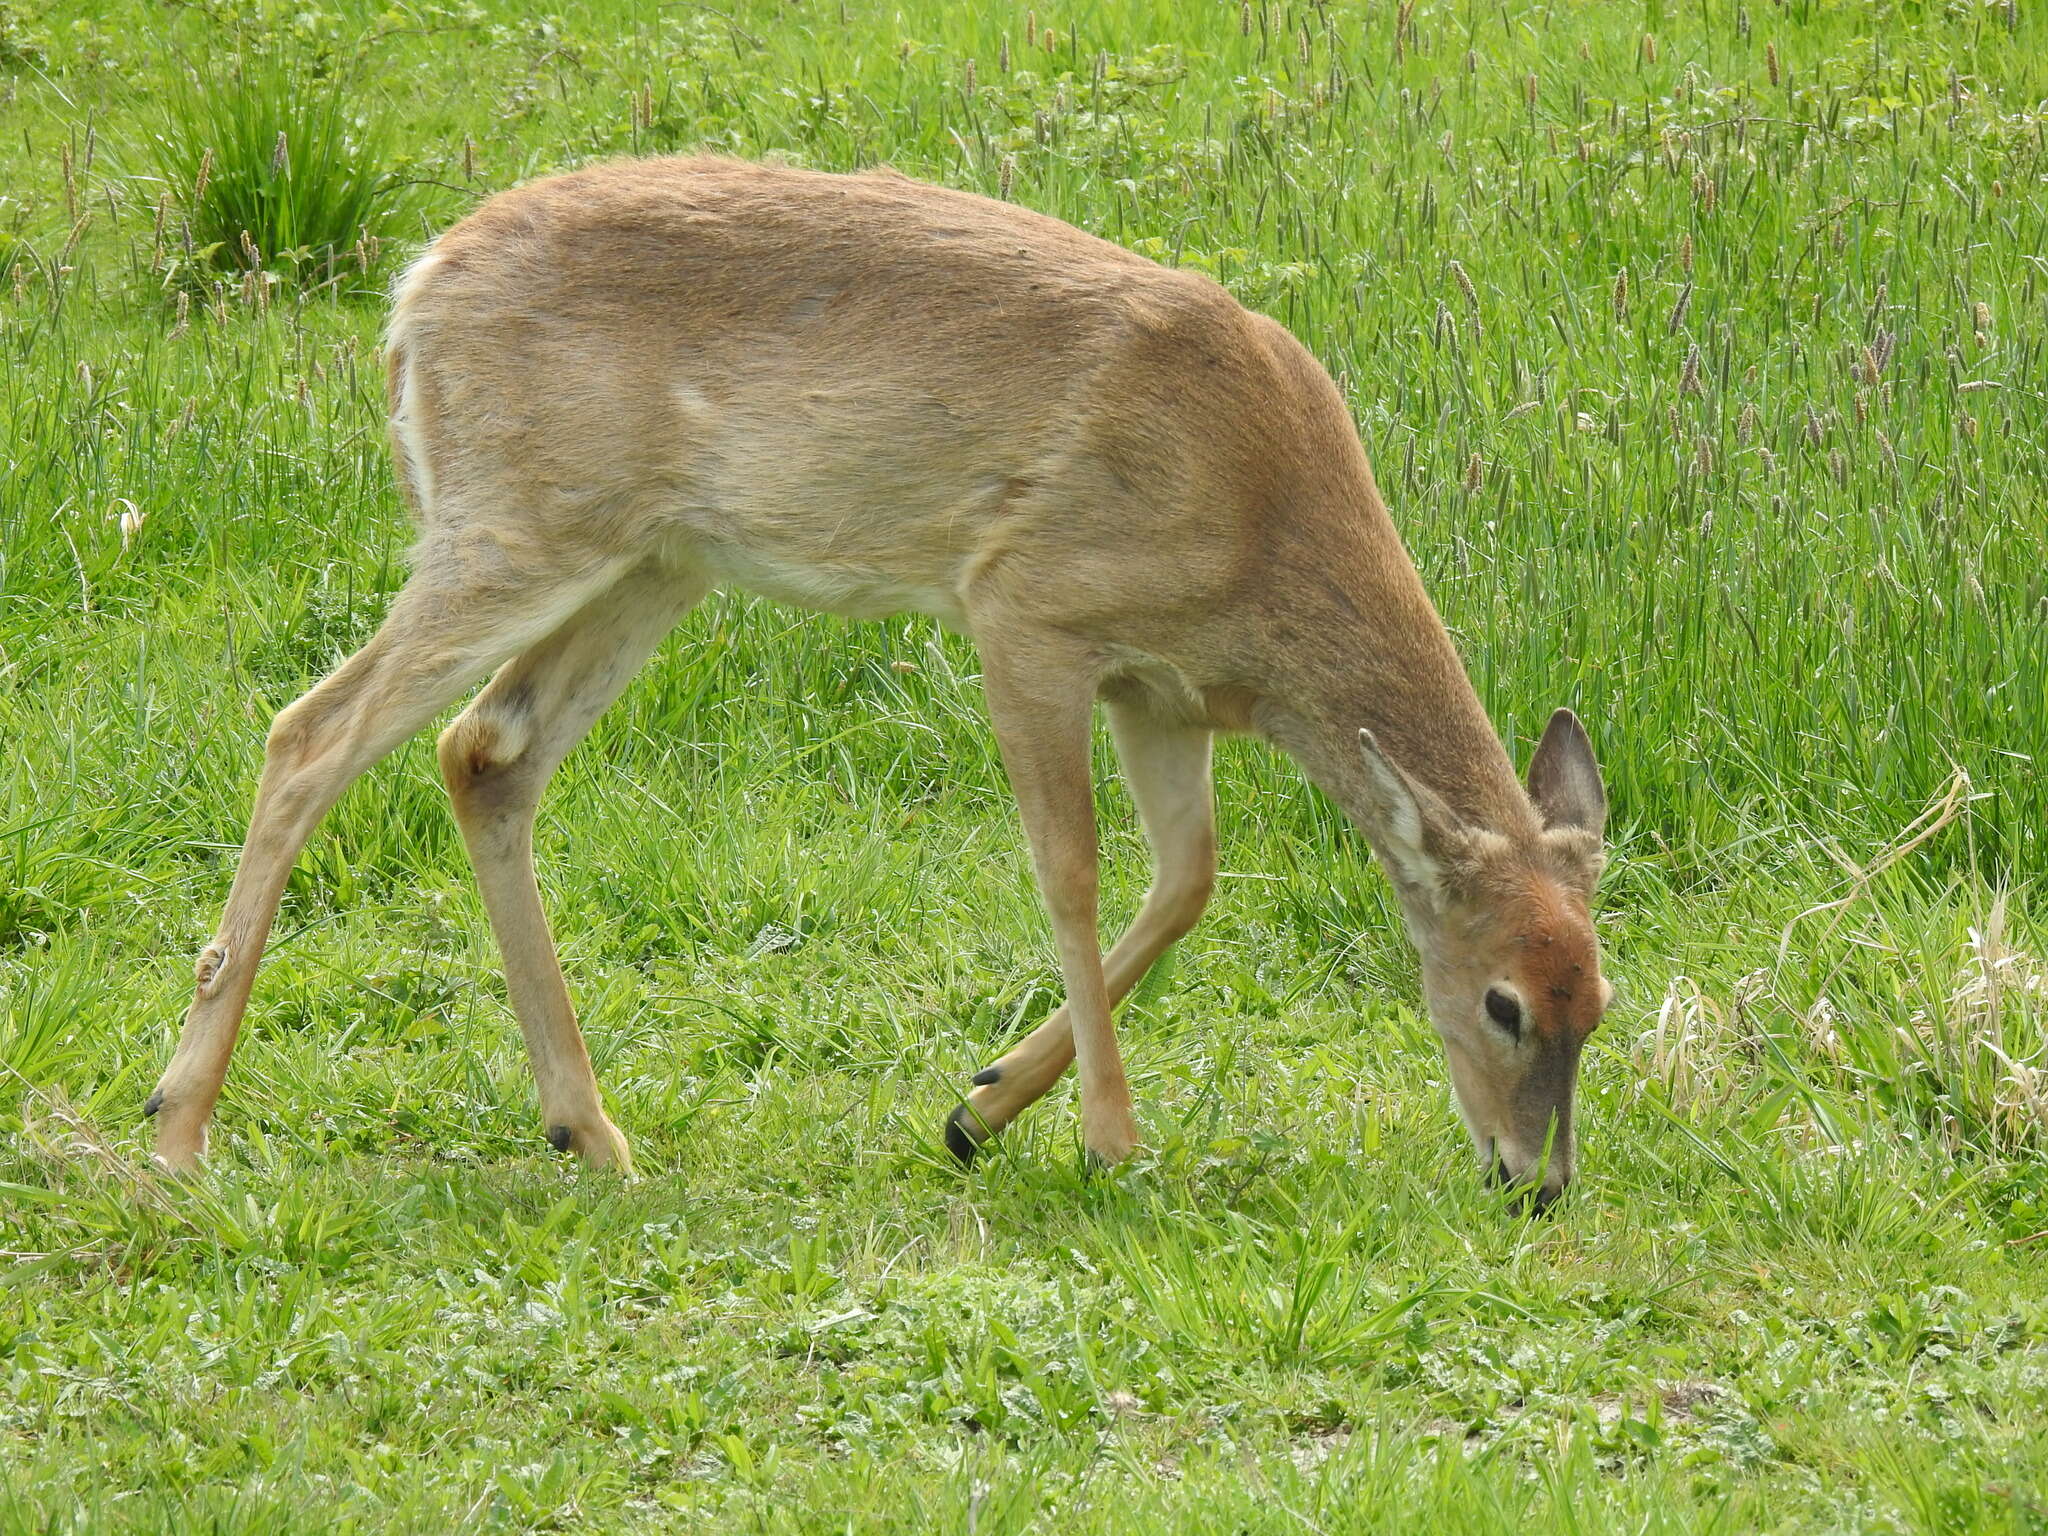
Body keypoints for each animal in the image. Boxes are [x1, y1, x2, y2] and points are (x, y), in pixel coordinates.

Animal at [148, 159, 1613, 1212]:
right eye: (1503, 1001)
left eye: (1596, 998)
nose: (1536, 1186)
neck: (1262, 525)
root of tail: (417, 285)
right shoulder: (1023, 608)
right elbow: (1071, 869)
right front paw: (1107, 1140)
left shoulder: (1162, 690)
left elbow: (1186, 881)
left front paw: (982, 1105)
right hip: (517, 521)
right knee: (310, 731)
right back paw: (177, 1127)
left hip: (652, 558)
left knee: (484, 750)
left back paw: (590, 1130)